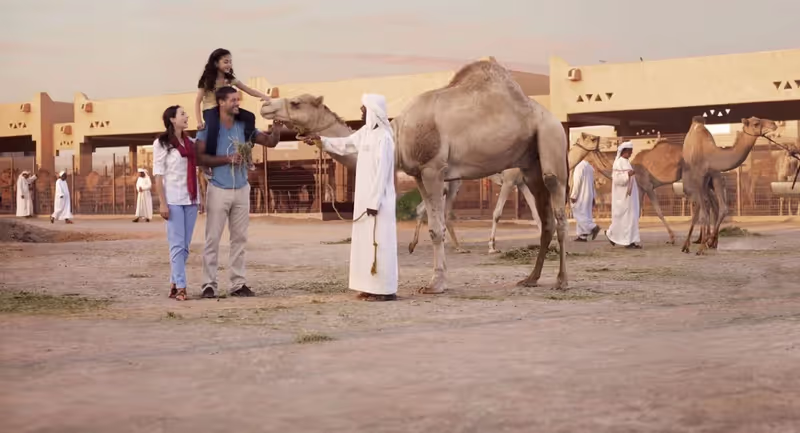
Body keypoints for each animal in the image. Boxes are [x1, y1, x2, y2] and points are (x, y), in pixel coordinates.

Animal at [261, 58, 570, 292]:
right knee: (545, 220)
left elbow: (437, 228)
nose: (266, 106)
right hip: (530, 166)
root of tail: (551, 116)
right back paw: (531, 278)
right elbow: (432, 223)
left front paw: (436, 284)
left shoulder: (433, 168)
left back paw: (561, 281)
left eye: (296, 102)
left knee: (559, 213)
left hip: (552, 143)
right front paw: (435, 278)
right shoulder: (419, 174)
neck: (397, 135)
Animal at [681, 116, 778, 255]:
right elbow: (703, 213)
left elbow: (723, 208)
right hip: (692, 183)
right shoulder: (699, 179)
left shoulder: (715, 176)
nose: (774, 124)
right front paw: (702, 246)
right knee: (700, 207)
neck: (709, 155)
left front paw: (709, 241)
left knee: (709, 205)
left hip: (708, 184)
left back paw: (707, 242)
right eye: (755, 123)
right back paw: (689, 244)